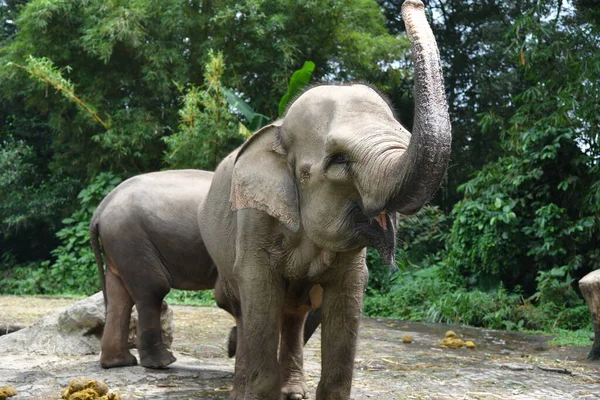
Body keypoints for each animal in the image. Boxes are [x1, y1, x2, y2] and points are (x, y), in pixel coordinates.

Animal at [89, 169, 322, 368]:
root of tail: (100, 208)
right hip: (132, 240)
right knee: (152, 290)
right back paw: (162, 363)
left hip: (121, 242)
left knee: (120, 297)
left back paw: (119, 363)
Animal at [197, 1, 450, 398]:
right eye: (338, 160)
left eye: (403, 135)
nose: (414, 4)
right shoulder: (253, 218)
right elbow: (258, 288)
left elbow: (347, 296)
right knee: (245, 308)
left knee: (294, 313)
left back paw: (293, 390)